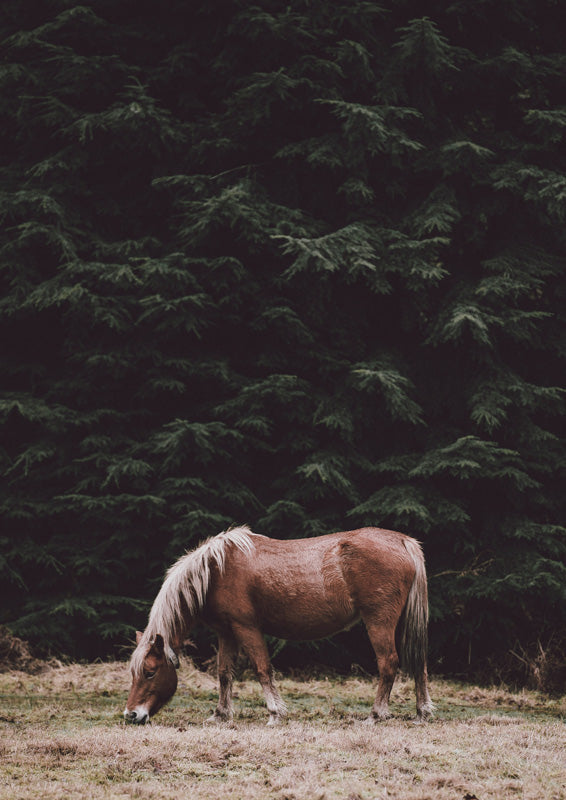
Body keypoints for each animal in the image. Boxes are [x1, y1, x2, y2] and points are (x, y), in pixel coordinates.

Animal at [124, 525, 434, 725]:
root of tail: (402, 541)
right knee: (419, 662)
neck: (216, 571)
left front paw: (275, 713)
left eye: (150, 672)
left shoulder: (246, 628)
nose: (131, 715)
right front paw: (220, 714)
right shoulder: (227, 633)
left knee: (388, 663)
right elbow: (224, 674)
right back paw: (422, 712)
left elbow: (263, 669)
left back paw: (375, 715)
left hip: (378, 621)